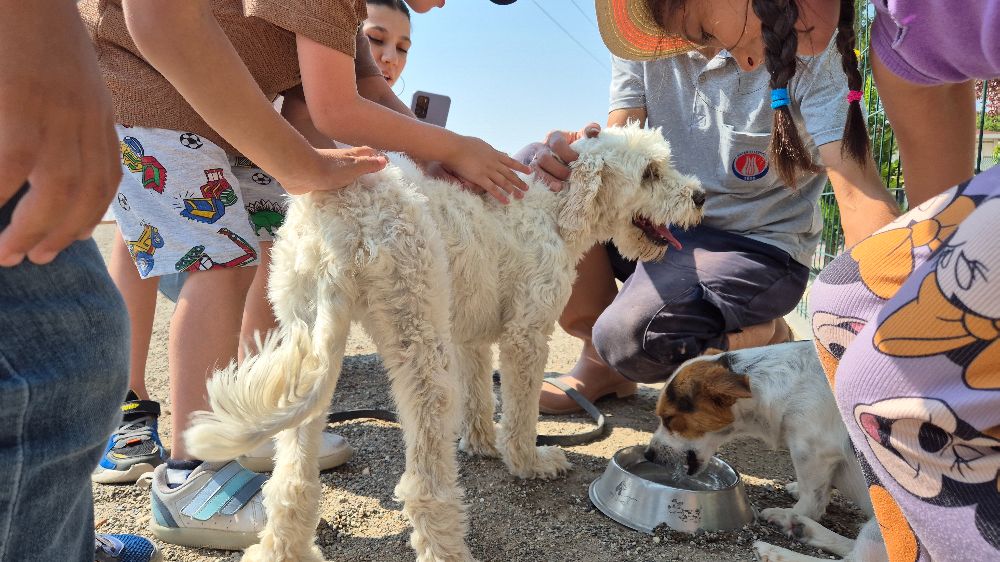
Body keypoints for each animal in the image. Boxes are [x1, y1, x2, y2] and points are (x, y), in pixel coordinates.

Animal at [186, 123, 704, 560]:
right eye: (651, 172)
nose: (700, 195)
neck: (553, 208)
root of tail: (343, 220)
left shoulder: (469, 338)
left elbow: (479, 399)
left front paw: (480, 445)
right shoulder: (526, 336)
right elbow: (520, 415)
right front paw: (529, 462)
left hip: (310, 341)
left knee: (291, 481)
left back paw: (283, 550)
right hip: (418, 345)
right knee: (424, 485)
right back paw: (446, 548)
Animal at [644, 340, 888, 556]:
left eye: (669, 418)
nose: (648, 454)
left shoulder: (813, 452)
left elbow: (812, 500)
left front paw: (797, 511)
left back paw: (776, 542)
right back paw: (800, 528)